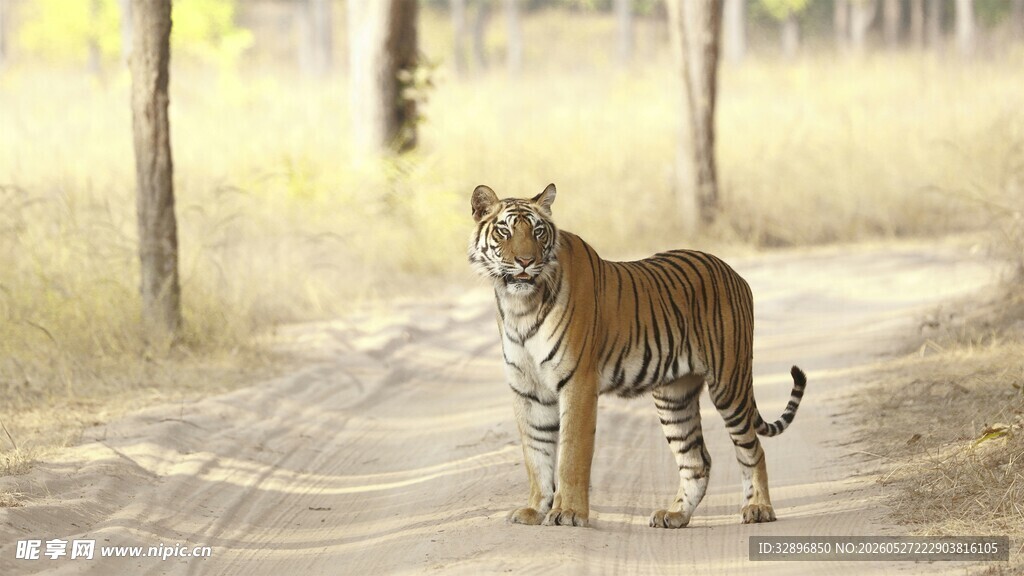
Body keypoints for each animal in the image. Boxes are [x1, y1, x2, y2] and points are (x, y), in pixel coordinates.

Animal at [468, 183, 807, 529]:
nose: (525, 261)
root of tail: (732, 271)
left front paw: (569, 512)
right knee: (696, 460)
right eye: (505, 231)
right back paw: (675, 514)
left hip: (729, 383)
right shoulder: (527, 389)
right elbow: (536, 454)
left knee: (752, 450)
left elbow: (571, 454)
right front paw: (535, 510)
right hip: (675, 397)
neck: (520, 307)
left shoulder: (577, 382)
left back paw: (758, 508)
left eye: (537, 231)